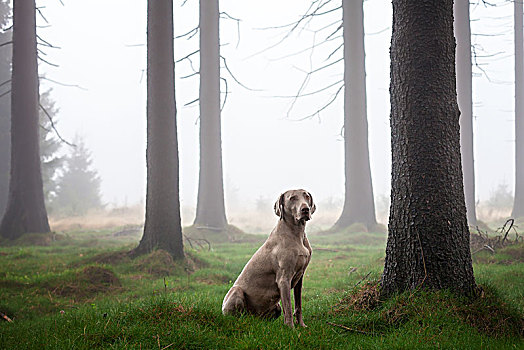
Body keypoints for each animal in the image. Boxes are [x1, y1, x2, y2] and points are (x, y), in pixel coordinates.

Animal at [221, 189, 316, 328]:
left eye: (306, 196)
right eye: (292, 198)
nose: (305, 209)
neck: (297, 234)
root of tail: (253, 317)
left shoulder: (300, 277)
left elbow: (298, 305)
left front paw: (302, 326)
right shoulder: (284, 279)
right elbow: (288, 307)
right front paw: (291, 328)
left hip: (276, 307)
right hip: (236, 291)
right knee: (237, 315)